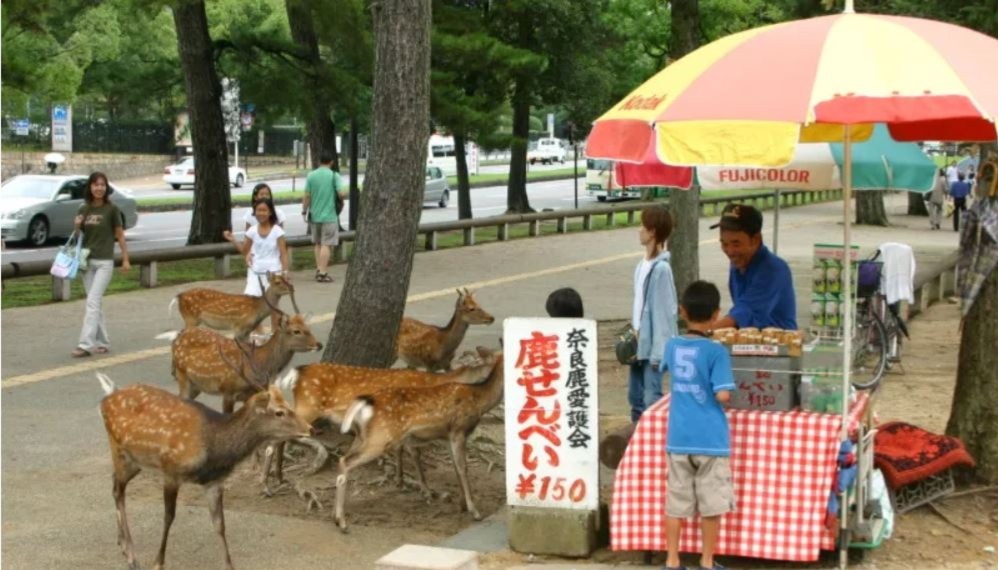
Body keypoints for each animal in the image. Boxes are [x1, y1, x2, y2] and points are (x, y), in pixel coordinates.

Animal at [98, 370, 310, 568]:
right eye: (279, 412)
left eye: (290, 405)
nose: (310, 428)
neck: (213, 448)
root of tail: (106, 399)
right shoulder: (171, 471)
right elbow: (168, 517)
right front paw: (158, 563)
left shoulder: (214, 481)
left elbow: (220, 524)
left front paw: (229, 565)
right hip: (119, 451)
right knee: (118, 490)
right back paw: (131, 556)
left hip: (136, 461)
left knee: (114, 483)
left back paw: (121, 543)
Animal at [164, 270, 294, 340]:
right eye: (278, 282)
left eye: (286, 279)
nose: (291, 287)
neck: (257, 310)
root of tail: (179, 296)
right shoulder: (239, 325)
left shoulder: (247, 330)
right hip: (191, 318)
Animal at [336, 344, 508, 532]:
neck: (479, 401)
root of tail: (365, 403)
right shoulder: (458, 430)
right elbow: (463, 468)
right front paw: (474, 511)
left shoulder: (448, 436)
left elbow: (456, 468)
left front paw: (462, 505)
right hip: (380, 437)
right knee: (345, 462)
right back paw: (342, 522)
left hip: (363, 436)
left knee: (342, 459)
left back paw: (336, 518)